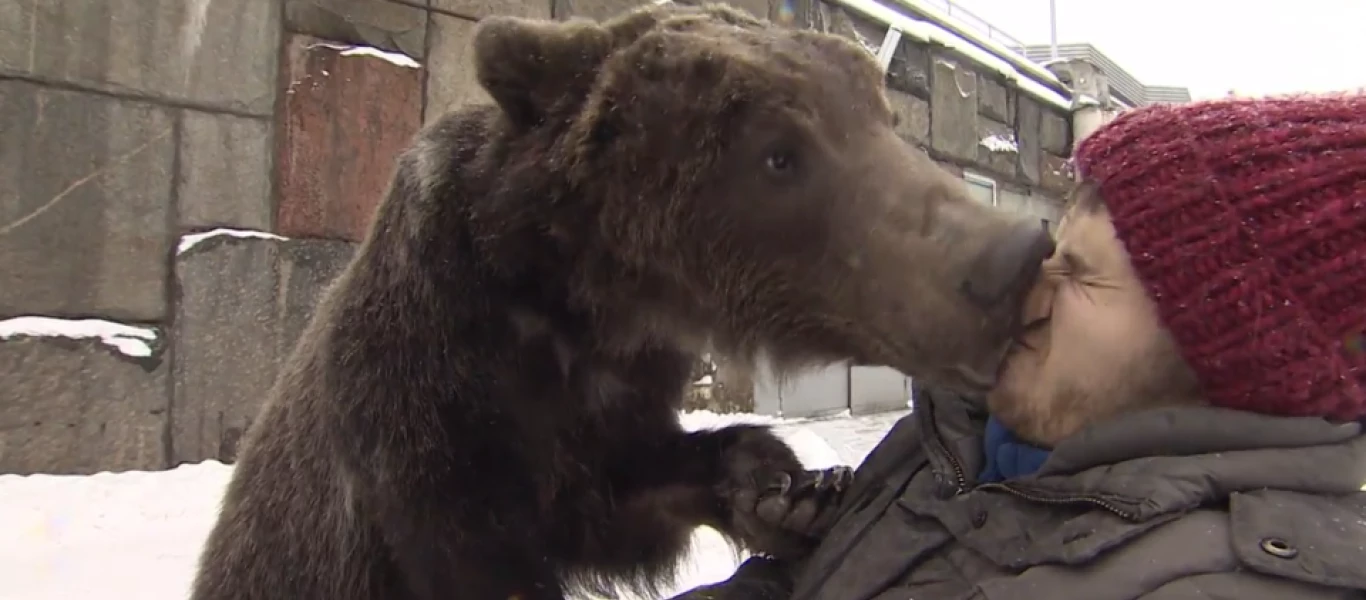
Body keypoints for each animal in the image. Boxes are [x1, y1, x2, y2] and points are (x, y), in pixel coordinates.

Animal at [187, 4, 1049, 600]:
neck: (584, 303)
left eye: (881, 114)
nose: (1010, 255)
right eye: (779, 154)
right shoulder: (427, 408)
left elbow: (621, 494)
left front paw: (788, 491)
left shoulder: (613, 395)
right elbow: (484, 555)